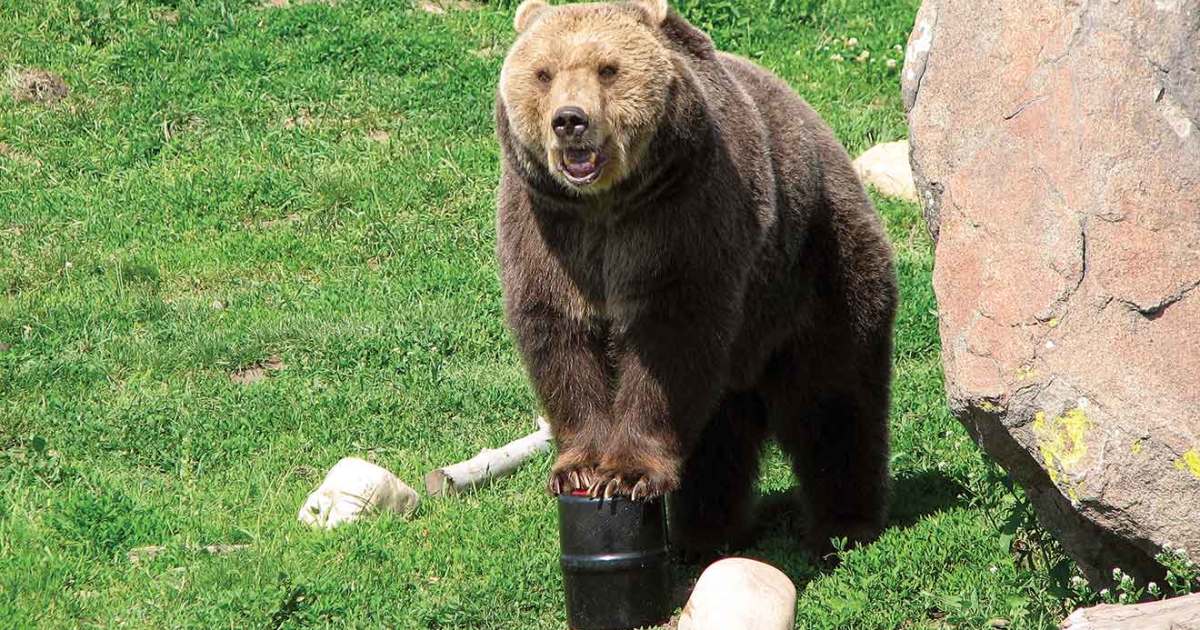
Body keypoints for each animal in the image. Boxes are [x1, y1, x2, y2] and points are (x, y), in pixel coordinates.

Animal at [494, 0, 897, 556]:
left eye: (608, 69)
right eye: (543, 73)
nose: (570, 120)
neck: (607, 205)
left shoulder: (684, 217)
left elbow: (671, 338)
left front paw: (628, 473)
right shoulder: (549, 227)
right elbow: (559, 335)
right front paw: (580, 468)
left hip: (820, 271)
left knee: (833, 401)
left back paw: (845, 523)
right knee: (719, 439)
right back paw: (708, 530)